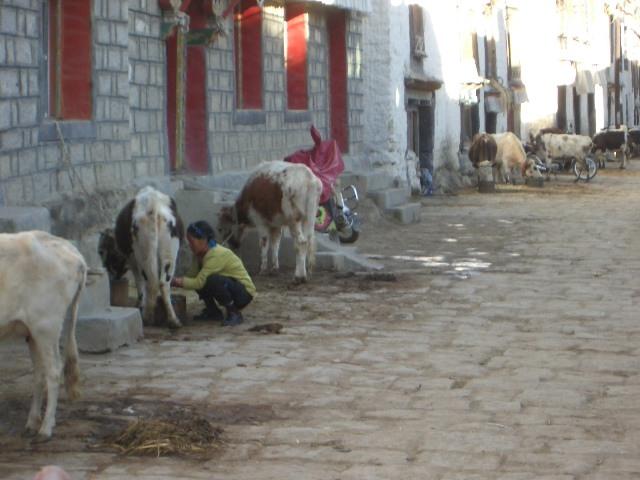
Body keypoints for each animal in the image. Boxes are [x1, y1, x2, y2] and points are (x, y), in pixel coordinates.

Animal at [0, 231, 87, 440]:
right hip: (33, 332)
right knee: (40, 373)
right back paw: (33, 422)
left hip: (46, 326)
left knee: (54, 371)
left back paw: (46, 428)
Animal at [99, 186, 184, 328]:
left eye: (101, 251)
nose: (106, 268)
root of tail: (153, 204)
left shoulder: (133, 261)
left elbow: (139, 282)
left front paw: (139, 304)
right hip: (170, 253)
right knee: (163, 283)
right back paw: (173, 320)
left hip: (144, 254)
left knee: (150, 283)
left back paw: (147, 317)